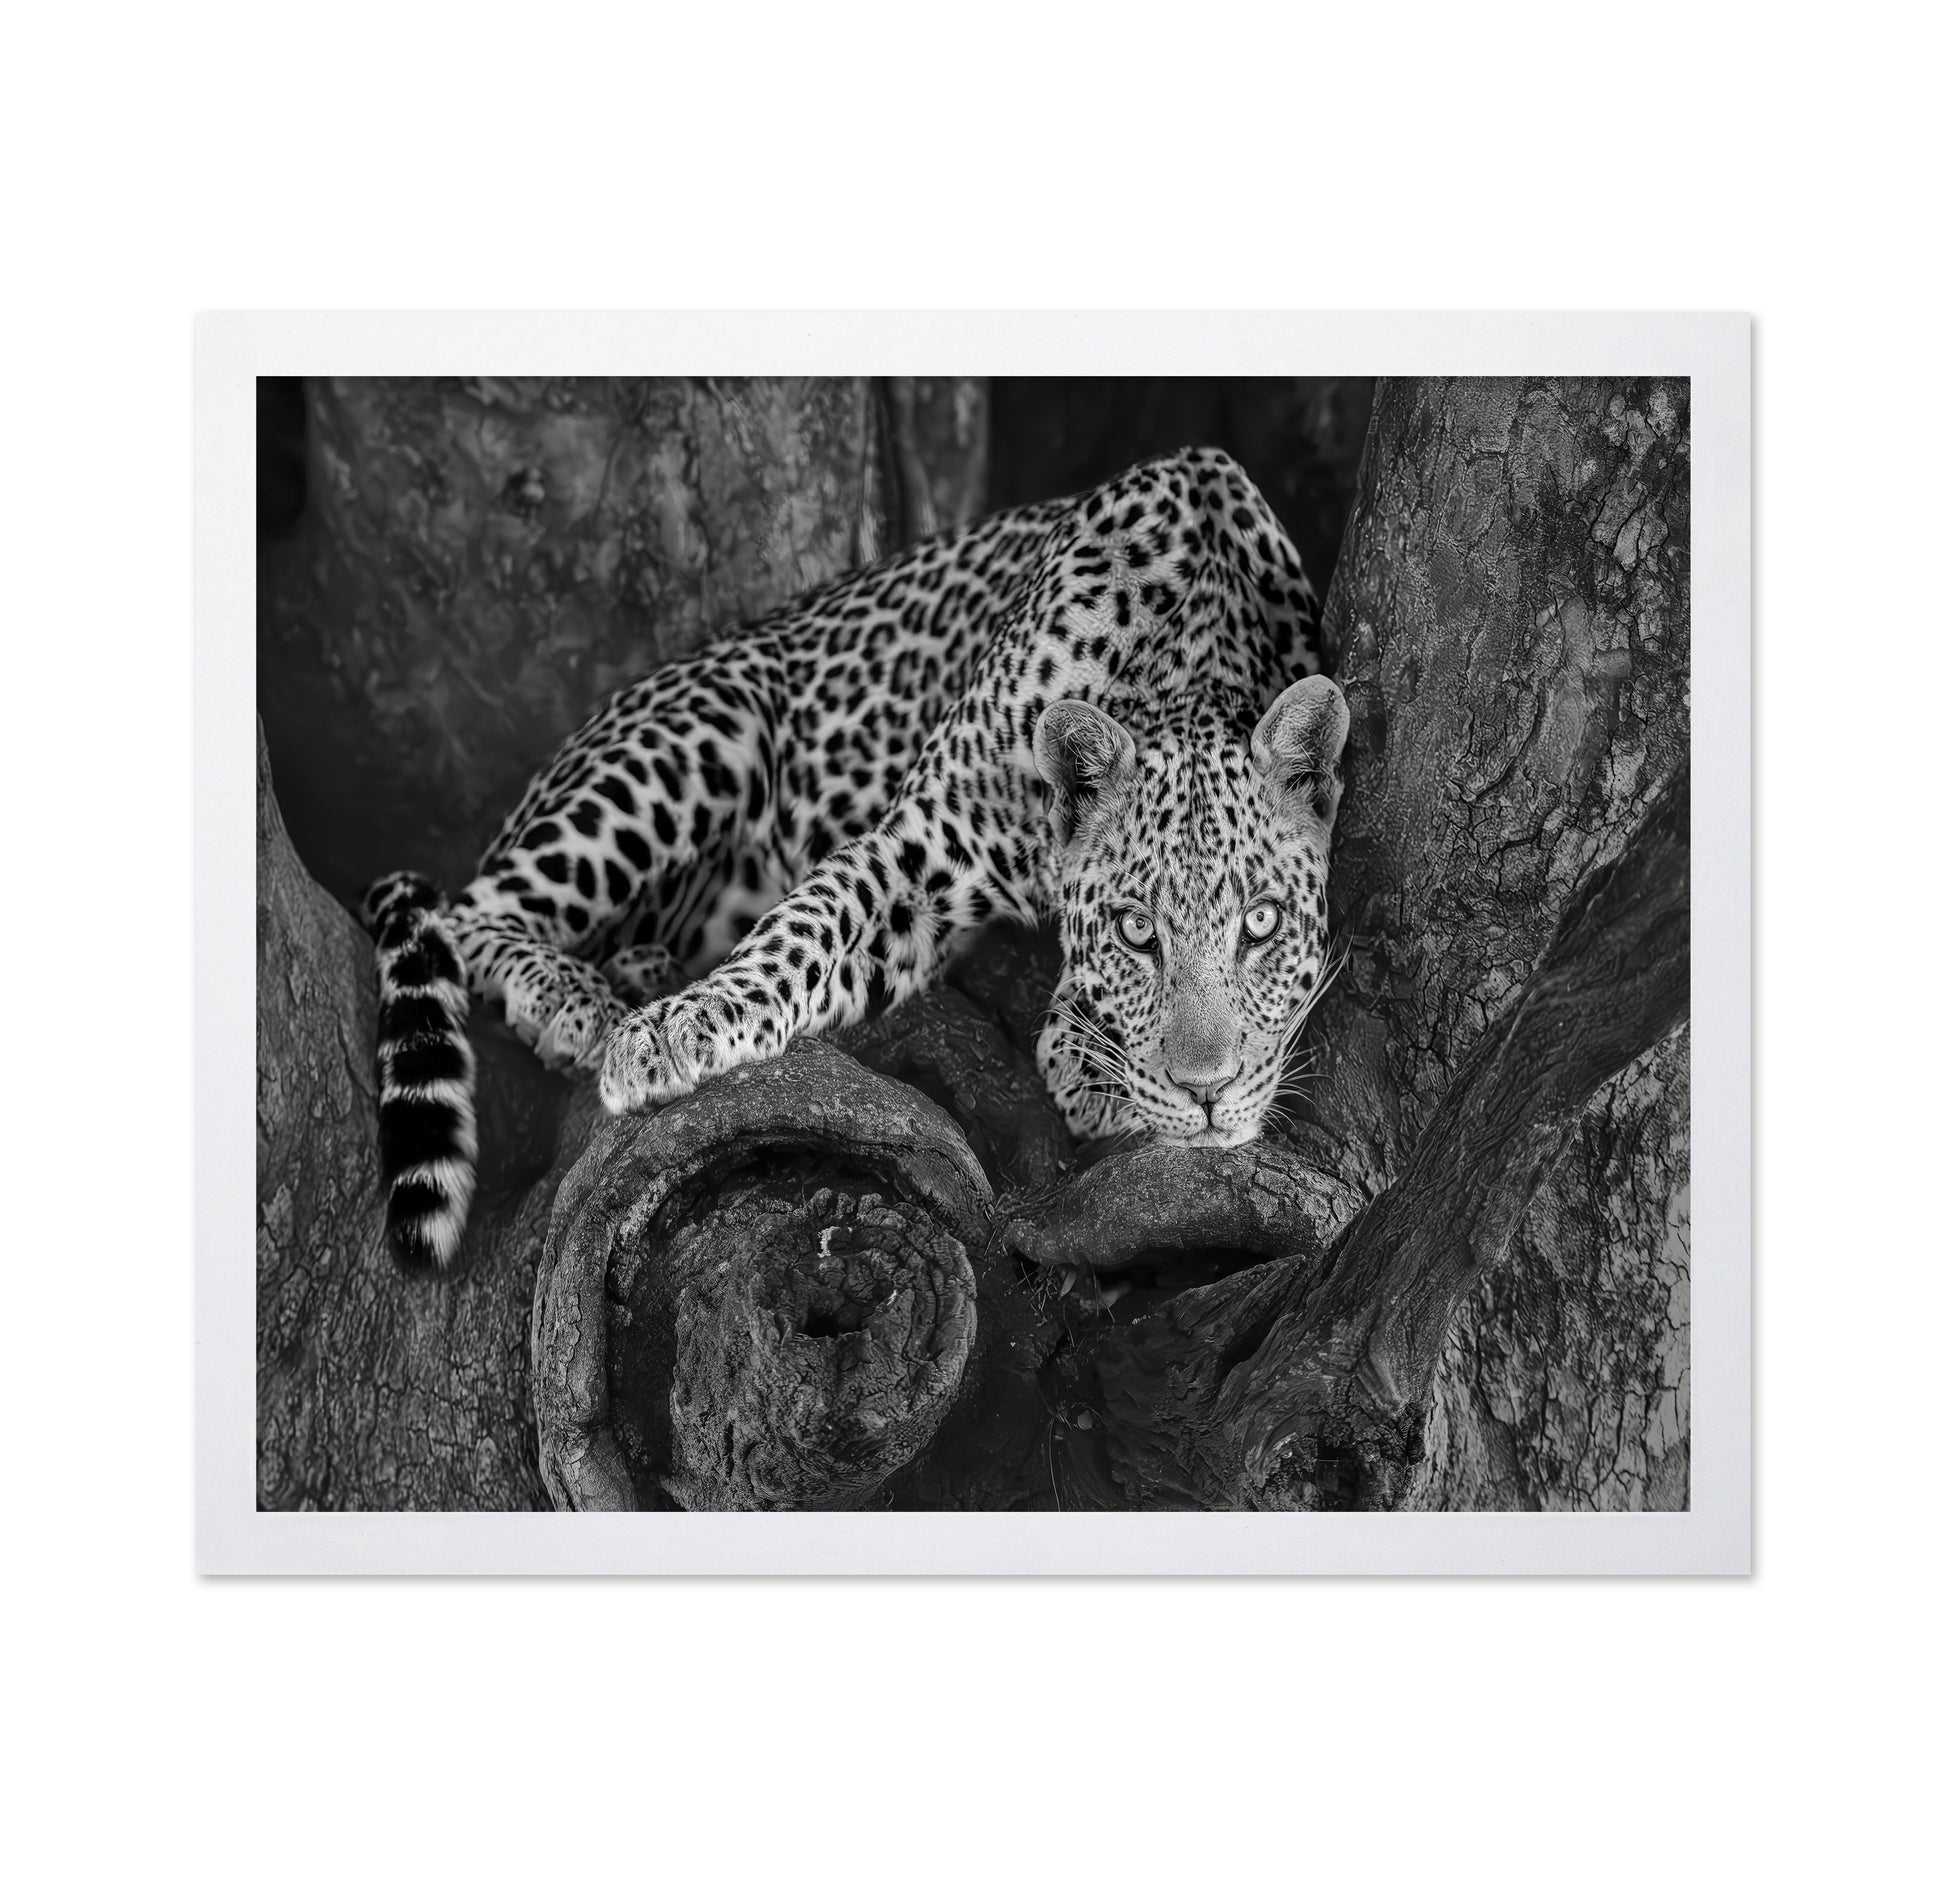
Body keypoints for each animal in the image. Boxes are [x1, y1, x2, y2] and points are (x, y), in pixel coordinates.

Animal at [363, 447, 1350, 1271]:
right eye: (1137, 932)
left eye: (1262, 924)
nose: (1210, 1094)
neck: (1184, 652)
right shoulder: (918, 844)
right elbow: (800, 928)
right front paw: (674, 1032)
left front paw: (1086, 1052)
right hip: (700, 732)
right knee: (463, 911)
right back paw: (577, 1001)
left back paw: (637, 966)